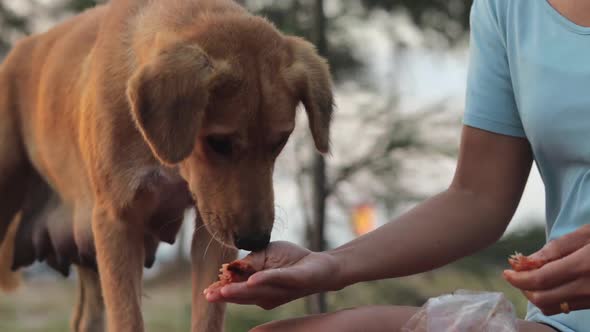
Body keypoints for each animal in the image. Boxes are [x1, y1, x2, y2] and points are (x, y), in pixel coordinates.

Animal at [0, 0, 332, 330]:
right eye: (219, 142)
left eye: (281, 140)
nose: (256, 240)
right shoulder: (116, 223)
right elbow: (127, 318)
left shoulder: (210, 229)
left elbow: (207, 314)